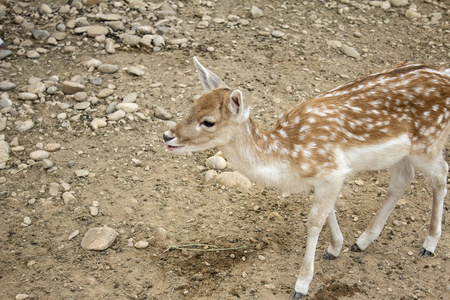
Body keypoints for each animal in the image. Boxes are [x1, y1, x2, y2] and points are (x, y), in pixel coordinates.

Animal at [163, 57, 450, 298]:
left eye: (208, 121)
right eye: (191, 106)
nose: (168, 136)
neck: (290, 159)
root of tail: (444, 73)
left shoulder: (332, 171)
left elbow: (313, 221)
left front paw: (301, 285)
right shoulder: (326, 177)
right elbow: (328, 211)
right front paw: (335, 248)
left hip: (429, 141)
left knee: (440, 174)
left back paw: (429, 244)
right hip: (400, 152)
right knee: (403, 177)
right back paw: (363, 241)